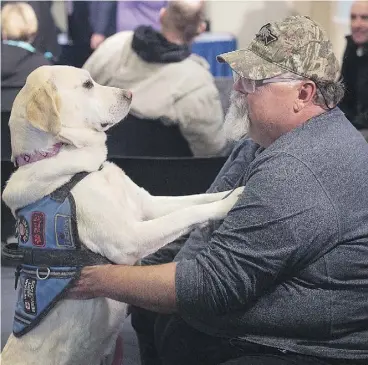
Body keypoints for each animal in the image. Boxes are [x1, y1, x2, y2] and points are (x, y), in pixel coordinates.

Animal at [1, 66, 243, 364]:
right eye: (87, 84)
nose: (130, 94)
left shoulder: (147, 204)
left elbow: (195, 200)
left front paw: (231, 191)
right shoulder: (129, 239)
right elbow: (187, 212)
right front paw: (230, 202)